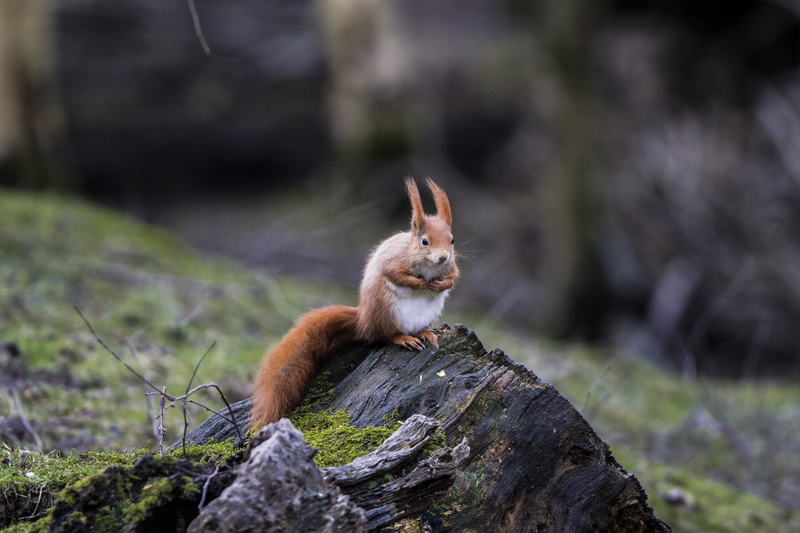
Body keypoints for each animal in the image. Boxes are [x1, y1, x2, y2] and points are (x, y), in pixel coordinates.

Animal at [249, 178, 459, 428]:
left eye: (452, 240)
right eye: (424, 241)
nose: (443, 257)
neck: (428, 266)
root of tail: (362, 320)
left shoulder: (452, 267)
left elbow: (454, 278)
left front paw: (439, 285)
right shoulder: (394, 260)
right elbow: (395, 274)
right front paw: (417, 283)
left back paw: (425, 334)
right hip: (386, 312)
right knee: (385, 335)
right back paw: (404, 338)